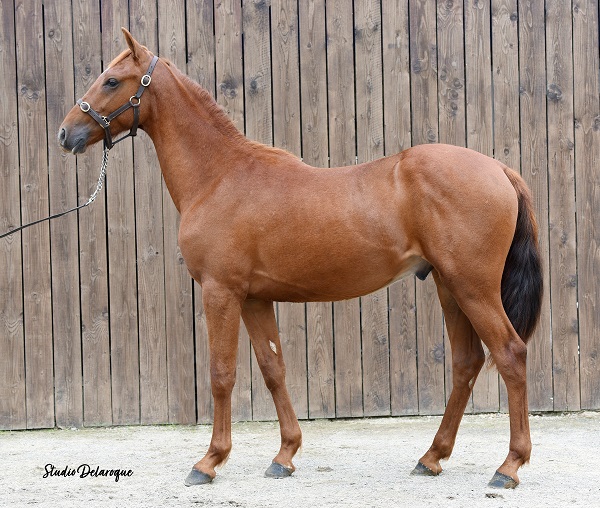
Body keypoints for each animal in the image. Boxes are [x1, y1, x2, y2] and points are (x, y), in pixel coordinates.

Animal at [58, 29, 543, 489]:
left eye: (111, 80)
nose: (66, 134)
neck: (219, 176)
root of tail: (500, 170)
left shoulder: (221, 292)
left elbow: (221, 374)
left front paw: (210, 461)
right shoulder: (254, 299)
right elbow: (273, 369)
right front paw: (284, 455)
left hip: (473, 288)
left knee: (511, 354)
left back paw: (509, 467)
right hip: (448, 286)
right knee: (467, 364)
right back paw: (431, 457)